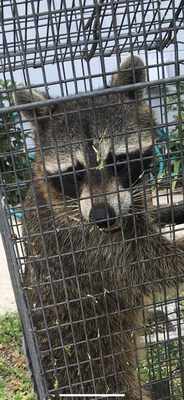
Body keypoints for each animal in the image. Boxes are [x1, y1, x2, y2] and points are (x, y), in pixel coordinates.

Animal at [15, 57, 184, 400]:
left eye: (117, 160)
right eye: (75, 172)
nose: (102, 216)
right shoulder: (82, 244)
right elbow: (146, 267)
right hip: (99, 380)